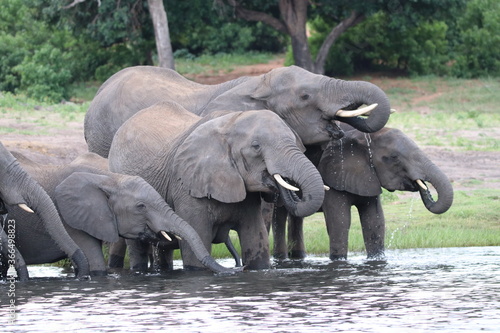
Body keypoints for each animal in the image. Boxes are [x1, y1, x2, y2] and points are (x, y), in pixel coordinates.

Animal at [108, 101, 328, 270]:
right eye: (256, 146)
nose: (277, 179)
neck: (230, 122)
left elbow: (256, 239)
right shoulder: (187, 188)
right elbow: (197, 248)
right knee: (136, 247)